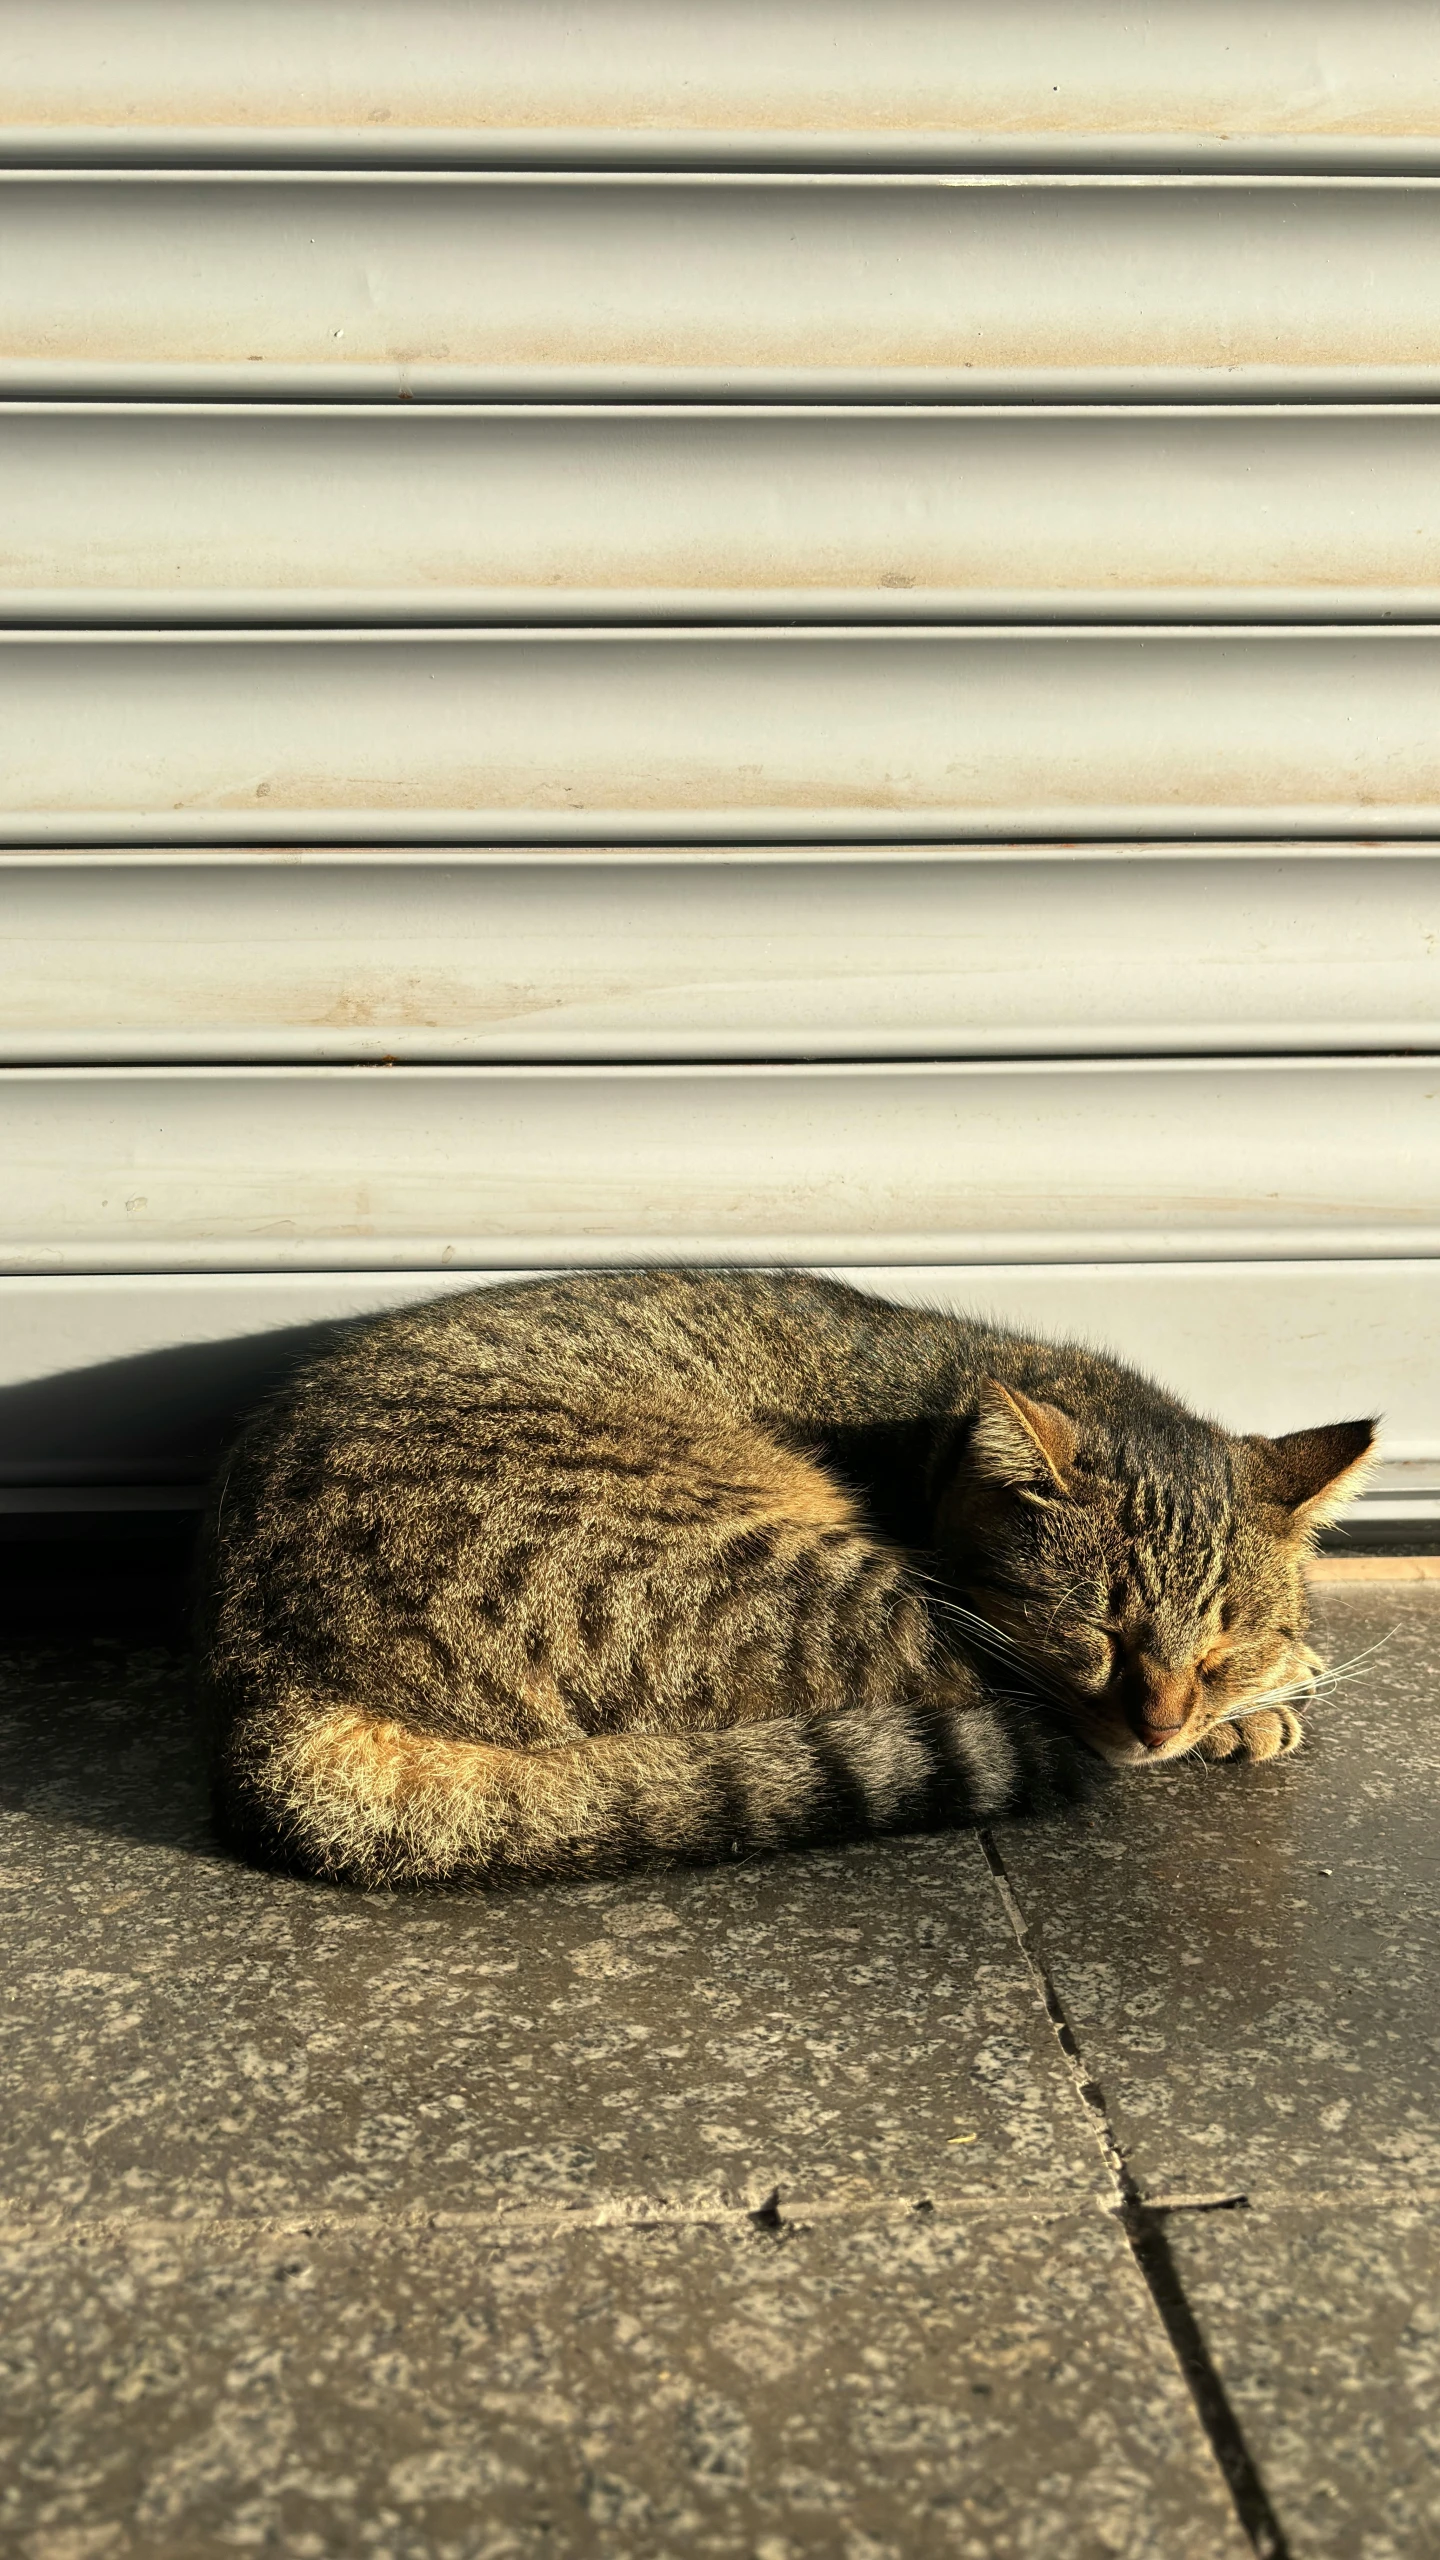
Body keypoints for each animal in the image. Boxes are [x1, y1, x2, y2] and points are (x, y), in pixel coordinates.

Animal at [196, 1269, 1373, 1894]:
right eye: (1100, 1636)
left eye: (1220, 1647)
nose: (1166, 1720)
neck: (939, 1438)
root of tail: (269, 1674)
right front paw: (1257, 1707)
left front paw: (1276, 1673)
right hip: (818, 1590)